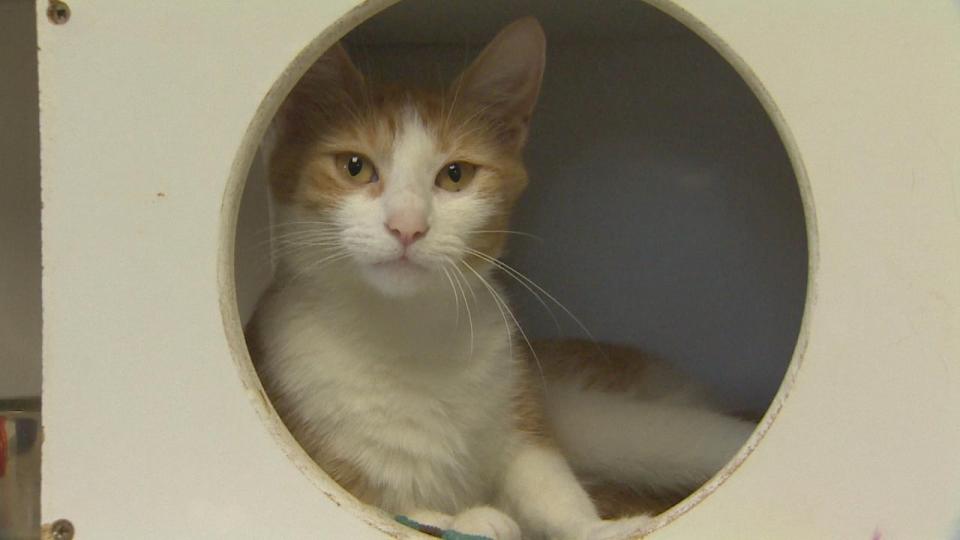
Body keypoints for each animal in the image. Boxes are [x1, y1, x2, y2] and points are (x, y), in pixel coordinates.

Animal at [244, 15, 752, 540]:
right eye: (354, 166)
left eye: (455, 175)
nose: (407, 226)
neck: (408, 333)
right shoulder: (325, 457)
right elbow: (404, 509)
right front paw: (471, 518)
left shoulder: (520, 397)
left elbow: (547, 482)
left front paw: (596, 527)